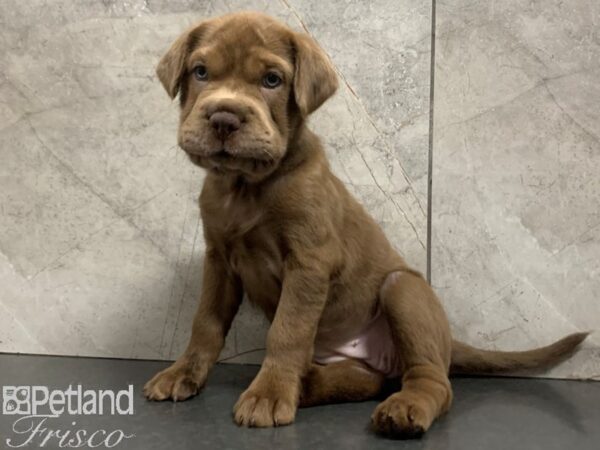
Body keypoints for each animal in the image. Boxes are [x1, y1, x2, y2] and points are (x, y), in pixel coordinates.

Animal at [144, 12, 584, 438]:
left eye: (272, 79)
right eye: (200, 71)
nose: (224, 117)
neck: (245, 186)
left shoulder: (308, 262)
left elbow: (286, 332)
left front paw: (268, 395)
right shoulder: (219, 259)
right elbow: (205, 323)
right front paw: (182, 374)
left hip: (404, 291)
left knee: (433, 381)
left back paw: (401, 408)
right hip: (356, 358)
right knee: (367, 380)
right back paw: (308, 386)